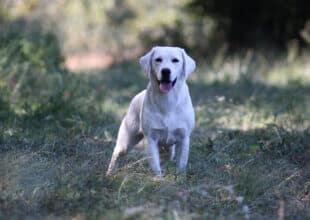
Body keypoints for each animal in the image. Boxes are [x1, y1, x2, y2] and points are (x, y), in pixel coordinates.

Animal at [105, 46, 195, 177]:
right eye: (158, 59)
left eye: (175, 60)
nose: (165, 71)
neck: (167, 100)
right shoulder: (151, 139)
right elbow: (155, 165)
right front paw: (158, 179)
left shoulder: (184, 138)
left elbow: (181, 164)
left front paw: (180, 178)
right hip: (125, 141)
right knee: (116, 155)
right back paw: (109, 174)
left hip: (168, 150)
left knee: (165, 158)